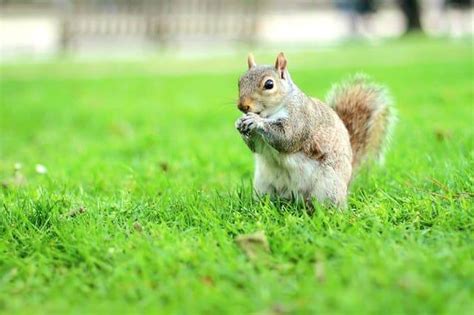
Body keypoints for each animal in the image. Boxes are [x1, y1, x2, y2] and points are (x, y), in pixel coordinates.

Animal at [235, 53, 394, 209]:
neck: (270, 113)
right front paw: (239, 122)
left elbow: (286, 138)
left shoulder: (300, 118)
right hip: (264, 185)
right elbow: (256, 148)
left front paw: (256, 121)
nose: (242, 106)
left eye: (269, 84)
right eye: (239, 81)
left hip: (328, 187)